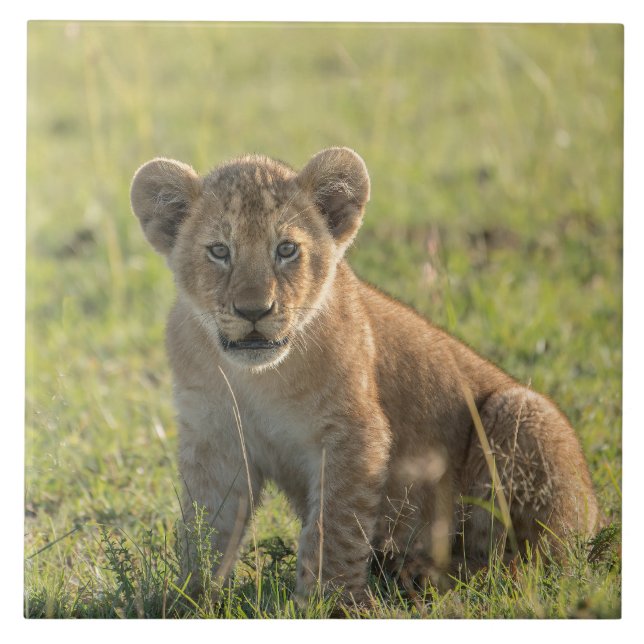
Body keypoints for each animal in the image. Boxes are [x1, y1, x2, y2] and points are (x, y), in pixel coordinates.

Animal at [130, 147, 598, 605]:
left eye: (286, 249)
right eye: (219, 251)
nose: (253, 311)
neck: (257, 379)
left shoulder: (354, 431)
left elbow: (334, 525)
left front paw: (330, 602)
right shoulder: (215, 440)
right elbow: (205, 527)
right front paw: (188, 600)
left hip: (521, 410)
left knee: (522, 567)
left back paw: (423, 576)